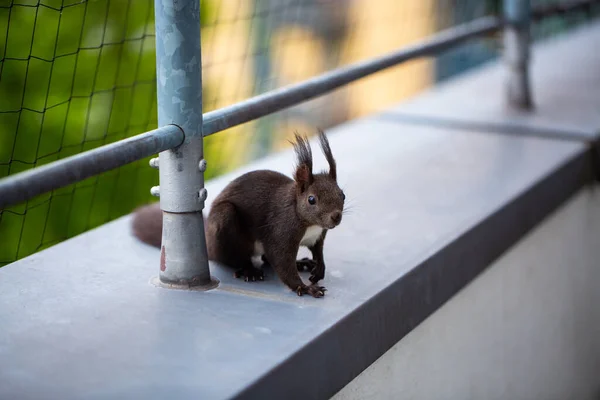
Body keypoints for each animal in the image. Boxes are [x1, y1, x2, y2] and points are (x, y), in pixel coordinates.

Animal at [133, 130, 344, 298]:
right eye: (311, 199)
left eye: (342, 194)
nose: (336, 216)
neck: (309, 223)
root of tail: (209, 244)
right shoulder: (281, 230)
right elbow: (283, 263)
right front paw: (306, 288)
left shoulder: (318, 235)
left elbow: (317, 251)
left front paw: (319, 269)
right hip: (225, 223)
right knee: (235, 258)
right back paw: (249, 270)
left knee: (265, 259)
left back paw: (300, 263)